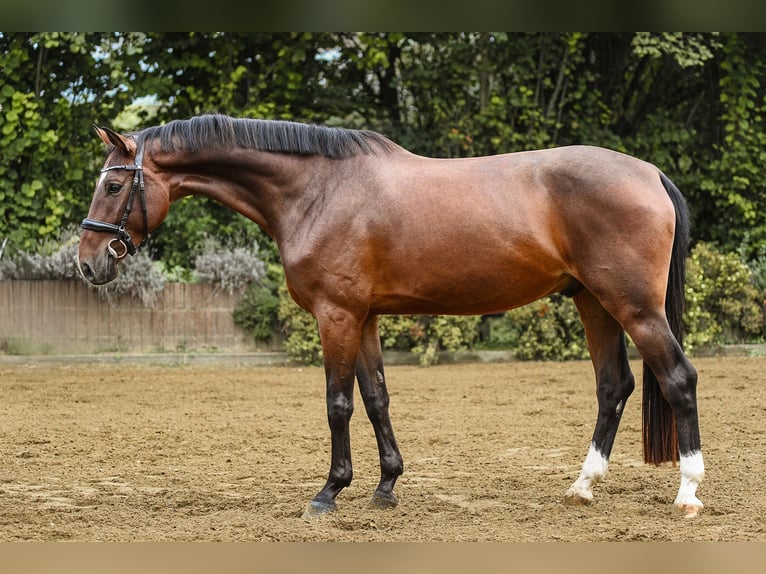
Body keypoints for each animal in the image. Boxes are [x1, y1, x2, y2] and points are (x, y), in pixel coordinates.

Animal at [78, 113, 708, 520]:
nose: (87, 262)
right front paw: (385, 487)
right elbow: (376, 397)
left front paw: (329, 493)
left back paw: (688, 493)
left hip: (635, 307)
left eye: (113, 184)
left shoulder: (335, 316)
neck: (319, 190)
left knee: (678, 379)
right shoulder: (365, 317)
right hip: (593, 302)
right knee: (614, 385)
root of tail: (649, 173)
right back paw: (583, 485)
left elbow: (338, 402)